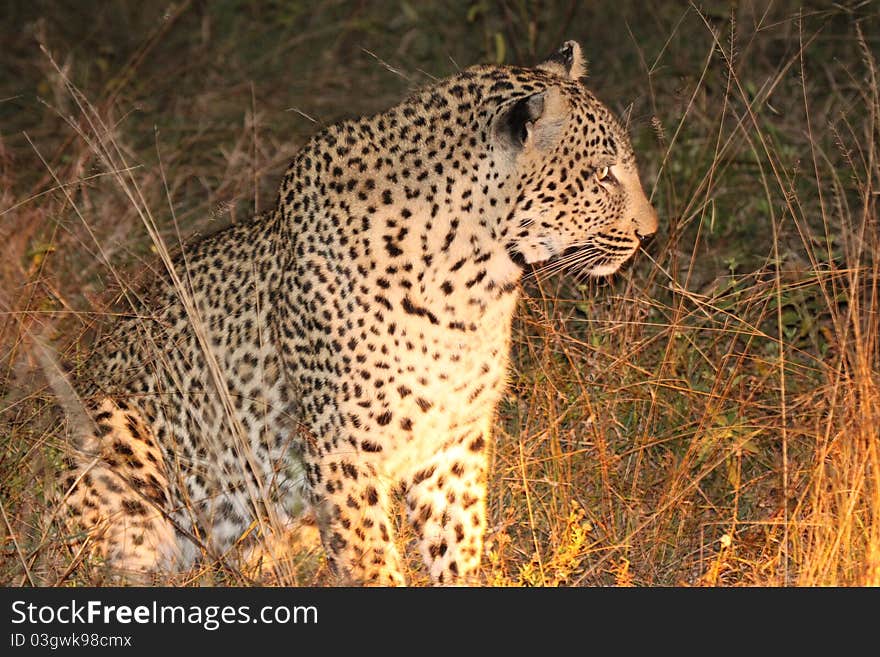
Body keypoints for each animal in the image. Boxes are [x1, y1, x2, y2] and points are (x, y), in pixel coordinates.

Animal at [60, 41, 652, 584]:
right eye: (603, 175)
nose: (651, 232)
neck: (477, 283)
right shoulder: (344, 452)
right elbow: (371, 563)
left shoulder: (453, 442)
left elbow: (456, 542)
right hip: (119, 444)